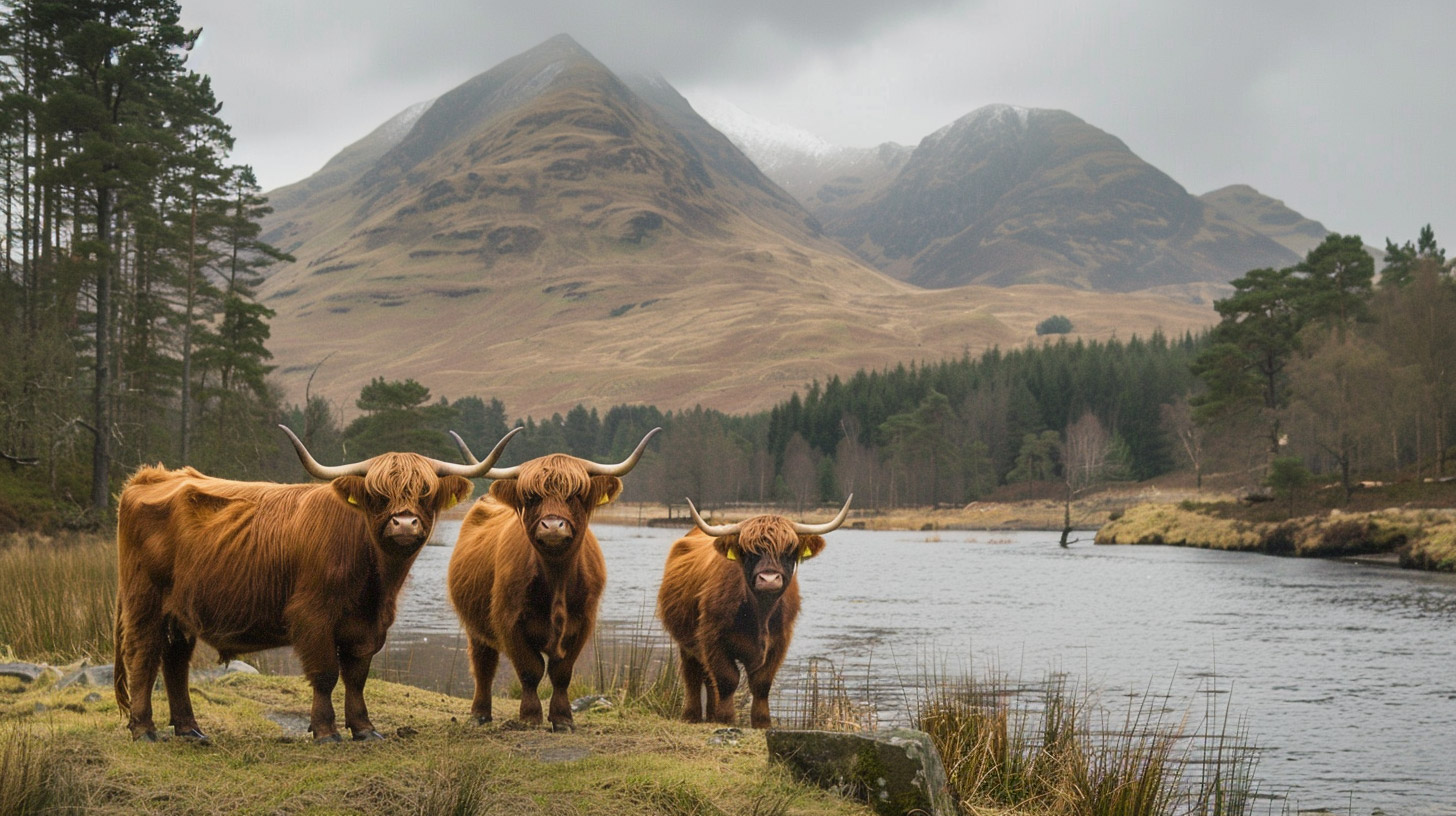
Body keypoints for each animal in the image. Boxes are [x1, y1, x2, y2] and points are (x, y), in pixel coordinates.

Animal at [117, 428, 518, 740]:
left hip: (179, 613)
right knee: (143, 656)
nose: (404, 524)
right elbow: (326, 673)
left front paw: (364, 729)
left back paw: (190, 729)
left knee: (175, 662)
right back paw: (144, 729)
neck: (374, 583)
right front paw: (326, 731)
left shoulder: (370, 625)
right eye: (377, 495)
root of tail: (149, 477)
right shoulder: (312, 615)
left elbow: (357, 675)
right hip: (144, 602)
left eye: (425, 492)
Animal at [442, 431, 661, 728]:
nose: (553, 526)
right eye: (531, 496)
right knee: (483, 665)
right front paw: (530, 717)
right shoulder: (509, 620)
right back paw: (479, 714)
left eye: (576, 494)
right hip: (475, 627)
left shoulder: (583, 623)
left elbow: (561, 672)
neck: (557, 577)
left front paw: (563, 718)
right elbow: (530, 670)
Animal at [655, 495, 850, 728]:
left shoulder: (779, 641)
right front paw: (726, 718)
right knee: (693, 675)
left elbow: (761, 683)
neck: (760, 613)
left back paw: (710, 715)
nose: (769, 579)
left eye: (789, 550)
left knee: (707, 678)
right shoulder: (713, 637)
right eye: (749, 552)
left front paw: (761, 721)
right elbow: (727, 679)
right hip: (686, 641)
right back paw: (692, 716)